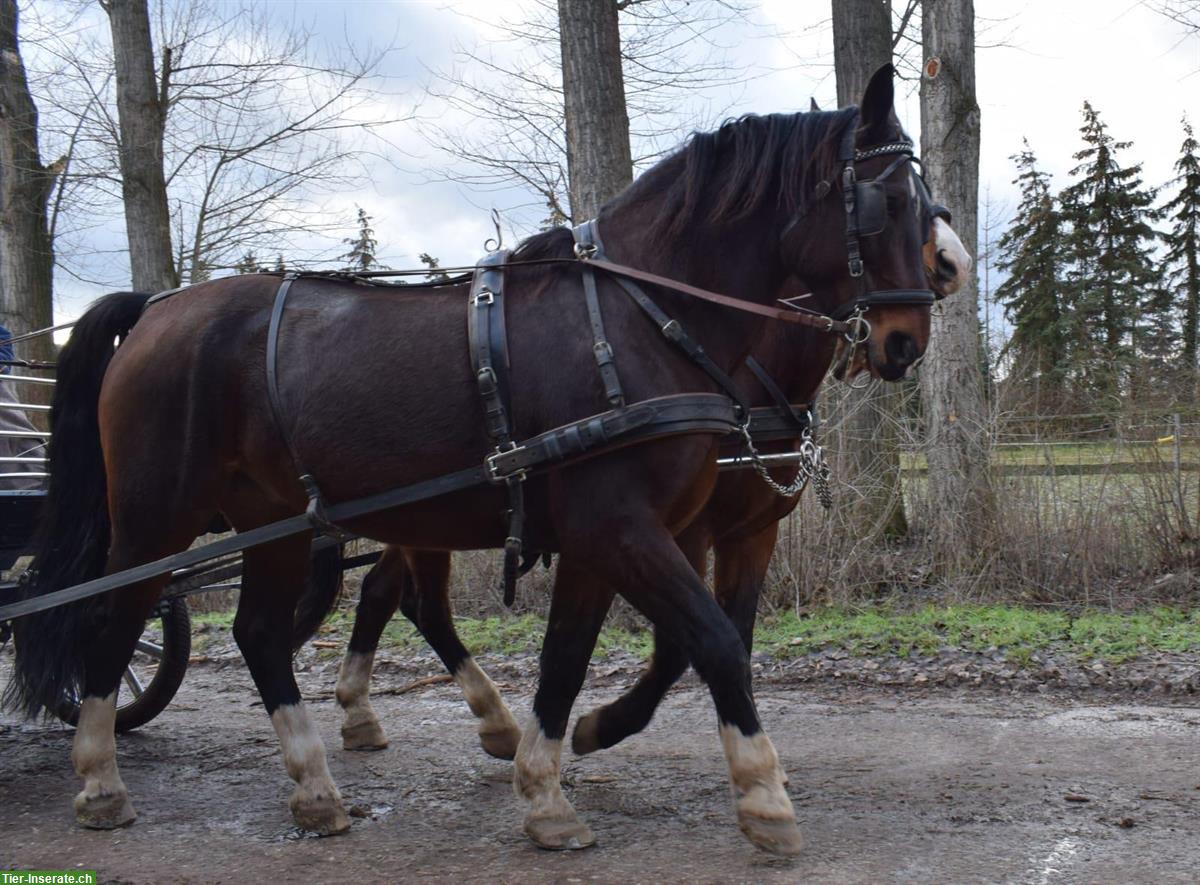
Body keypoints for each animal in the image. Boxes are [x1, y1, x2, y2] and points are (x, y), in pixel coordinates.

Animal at [14, 65, 936, 853]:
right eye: (887, 203)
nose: (907, 339)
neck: (638, 318)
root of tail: (158, 306)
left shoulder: (608, 538)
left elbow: (568, 658)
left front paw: (546, 789)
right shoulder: (621, 526)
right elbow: (711, 637)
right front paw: (762, 792)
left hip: (277, 520)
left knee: (263, 633)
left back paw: (316, 786)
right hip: (155, 516)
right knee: (115, 618)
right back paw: (100, 780)